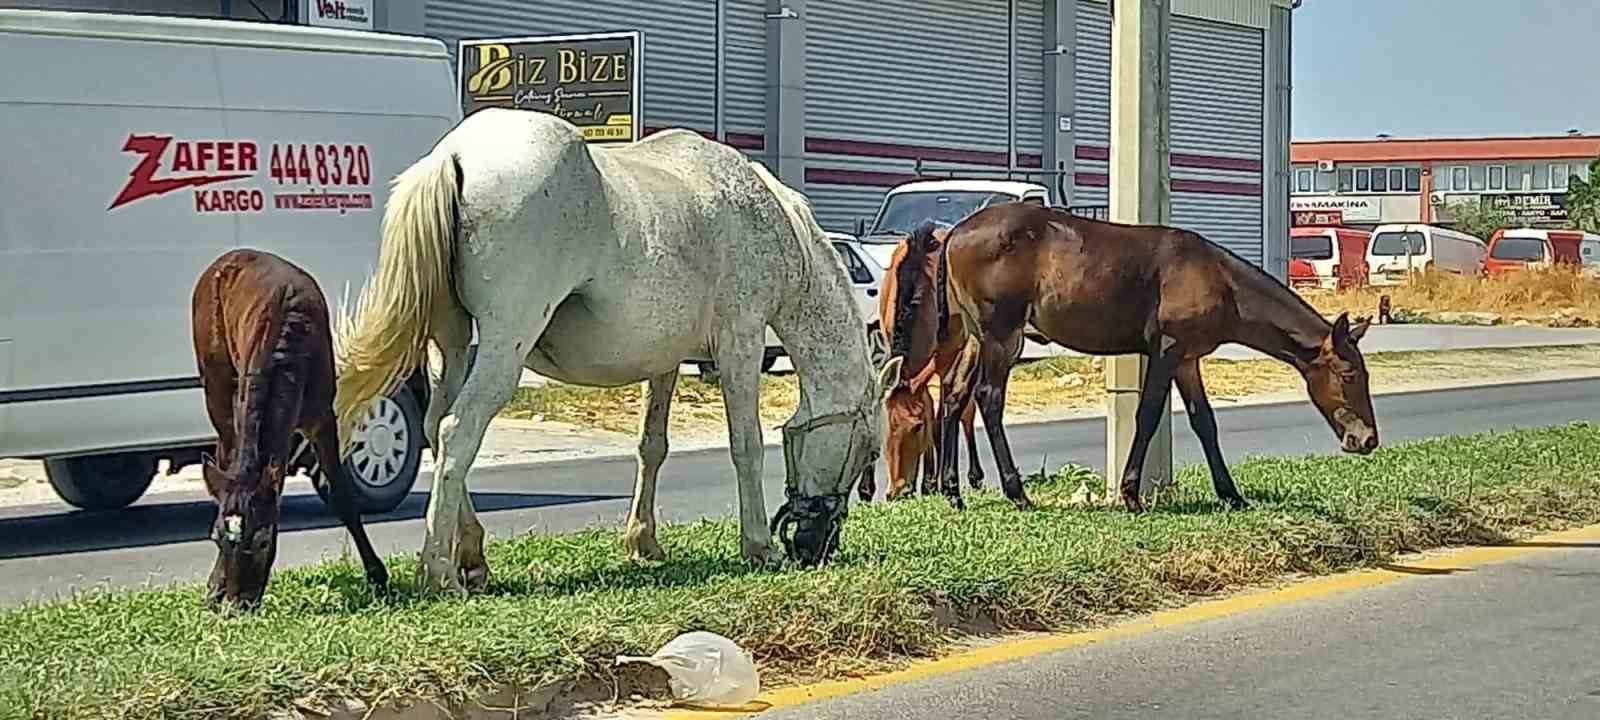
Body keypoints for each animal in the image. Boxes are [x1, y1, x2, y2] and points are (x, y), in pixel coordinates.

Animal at [186, 248, 384, 608]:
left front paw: (378, 576)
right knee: (225, 445)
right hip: (214, 377)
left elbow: (342, 494)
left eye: (263, 541)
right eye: (215, 537)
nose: (237, 606)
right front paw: (216, 586)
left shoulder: (323, 415)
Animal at [334, 107, 902, 592]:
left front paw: (643, 540)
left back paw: (471, 554)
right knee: (457, 432)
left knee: (435, 426)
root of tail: (454, 155)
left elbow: (652, 446)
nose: (816, 545)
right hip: (502, 348)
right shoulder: (740, 341)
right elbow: (745, 444)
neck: (769, 218)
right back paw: (439, 571)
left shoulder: (666, 361)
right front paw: (758, 546)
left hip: (453, 346)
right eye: (869, 450)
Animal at [851, 227, 985, 502]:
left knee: (963, 410)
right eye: (884, 427)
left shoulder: (948, 355)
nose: (898, 491)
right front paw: (866, 488)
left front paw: (936, 482)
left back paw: (967, 477)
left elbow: (939, 417)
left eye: (916, 428)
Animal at [921, 204, 1382, 512]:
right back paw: (1016, 492)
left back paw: (952, 491)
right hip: (1003, 334)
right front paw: (1130, 494)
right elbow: (1148, 414)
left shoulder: (1188, 359)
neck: (1221, 281)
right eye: (1349, 374)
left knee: (954, 393)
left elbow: (1204, 422)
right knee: (988, 398)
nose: (1367, 440)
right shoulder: (1167, 349)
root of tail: (954, 234)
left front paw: (1231, 494)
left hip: (976, 335)